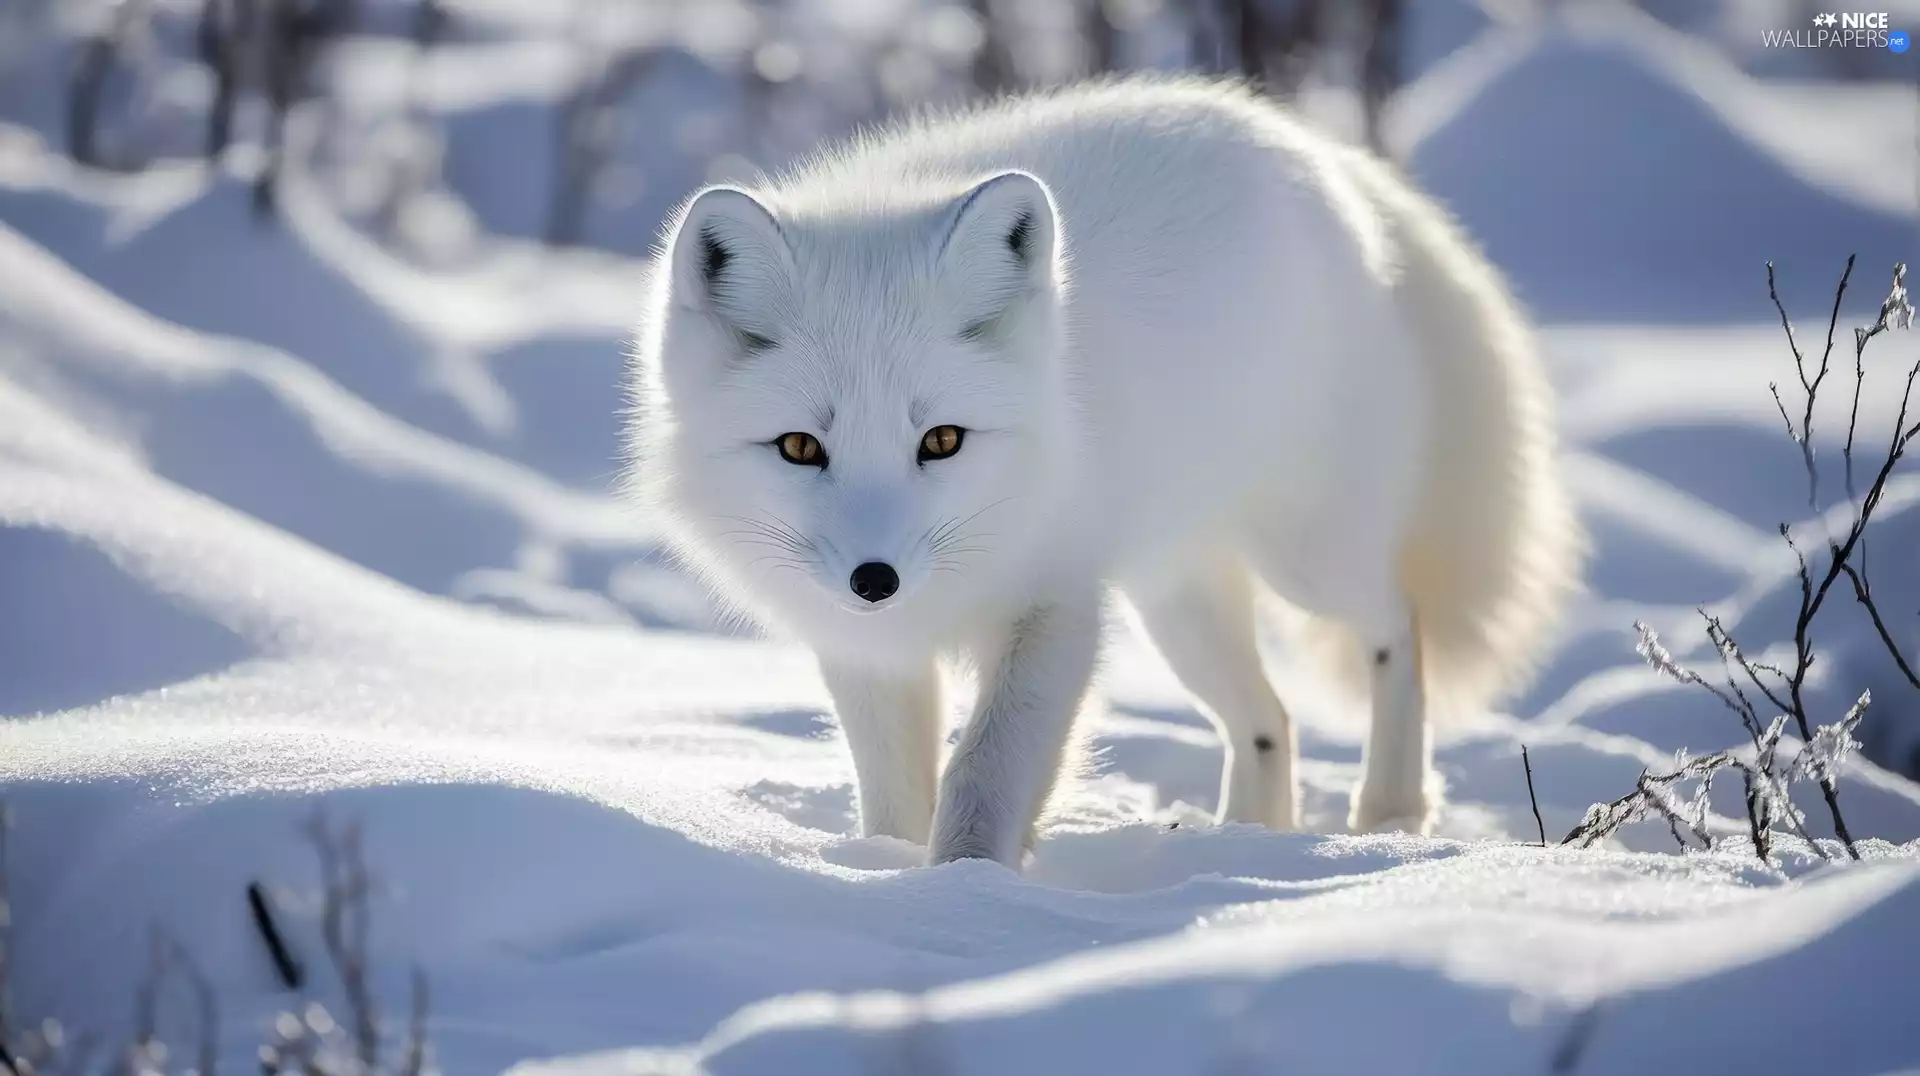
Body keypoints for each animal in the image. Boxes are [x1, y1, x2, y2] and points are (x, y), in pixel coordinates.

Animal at [625, 76, 1583, 869]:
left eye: (941, 440)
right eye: (800, 448)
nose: (875, 579)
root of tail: (1314, 147)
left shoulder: (1057, 608)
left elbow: (984, 771)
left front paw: (966, 886)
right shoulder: (867, 648)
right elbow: (895, 793)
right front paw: (894, 870)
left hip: (1305, 558)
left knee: (1396, 626)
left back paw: (1388, 812)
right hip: (1177, 602)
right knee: (1268, 718)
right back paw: (1251, 836)